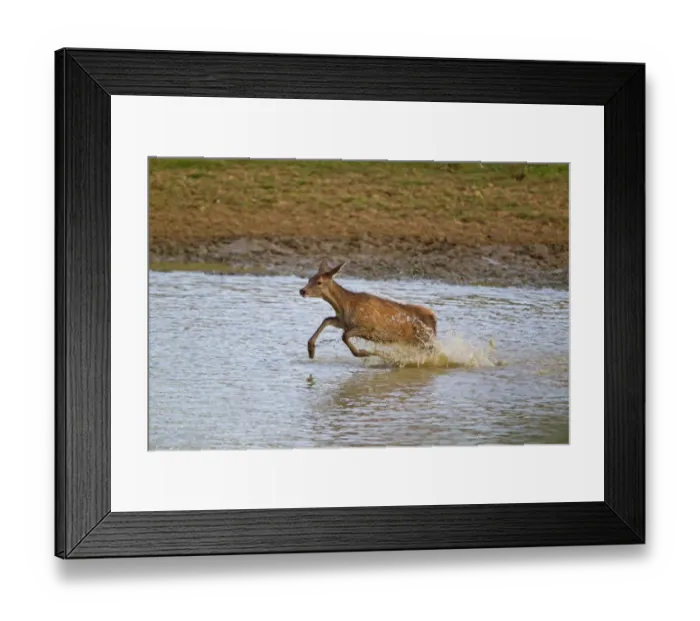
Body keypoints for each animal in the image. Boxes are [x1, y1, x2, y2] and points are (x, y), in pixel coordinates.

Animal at [299, 259, 438, 360]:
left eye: (319, 282)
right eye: (309, 279)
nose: (302, 291)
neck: (346, 306)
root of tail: (434, 317)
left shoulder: (369, 326)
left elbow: (344, 335)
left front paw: (363, 353)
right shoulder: (343, 322)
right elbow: (326, 320)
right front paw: (311, 350)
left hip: (424, 339)